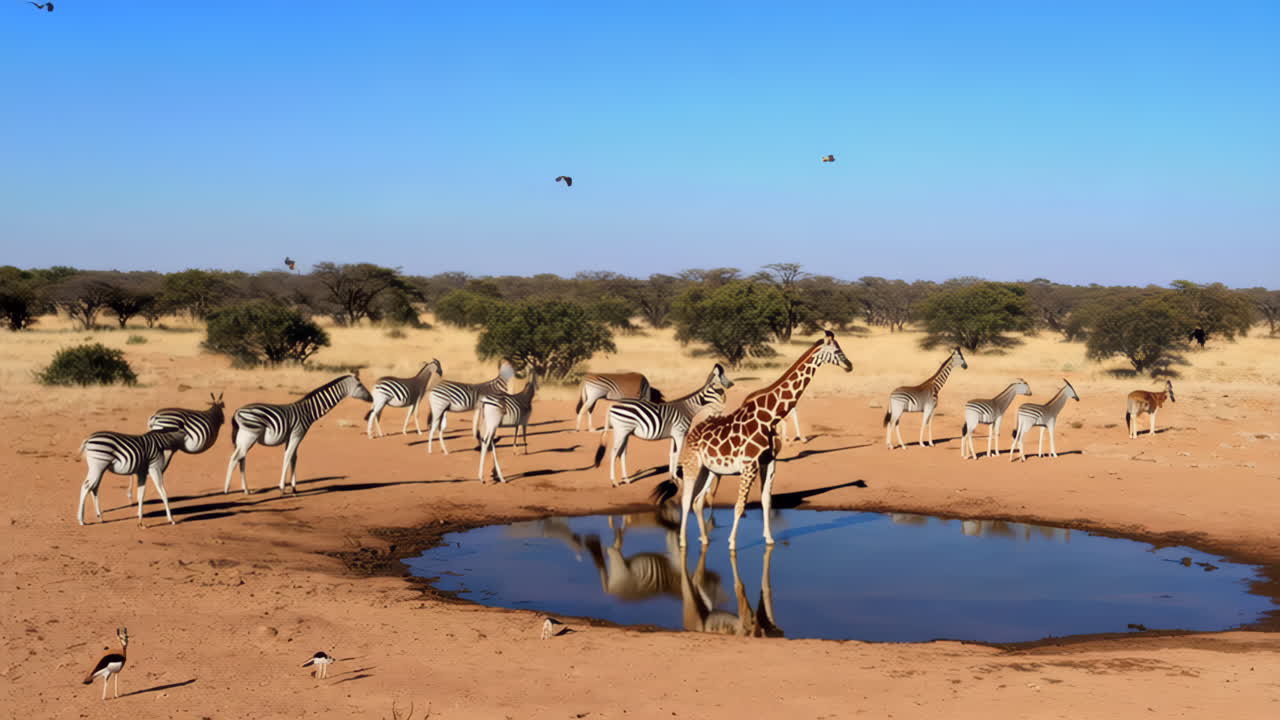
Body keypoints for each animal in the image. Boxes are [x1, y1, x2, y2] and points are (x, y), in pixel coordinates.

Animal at [224, 373, 373, 494]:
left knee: (241, 458)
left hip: (244, 438)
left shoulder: (292, 436)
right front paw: (282, 488)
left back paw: (246, 490)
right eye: (360, 385)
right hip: (250, 435)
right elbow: (288, 456)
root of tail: (237, 412)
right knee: (235, 457)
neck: (308, 411)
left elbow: (294, 458)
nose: (371, 398)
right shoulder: (298, 433)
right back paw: (226, 489)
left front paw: (294, 488)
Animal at [592, 363, 733, 486]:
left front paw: (672, 477)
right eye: (720, 392)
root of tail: (613, 405)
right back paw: (614, 481)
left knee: (621, 453)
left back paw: (626, 479)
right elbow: (678, 454)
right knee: (613, 452)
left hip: (626, 432)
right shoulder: (680, 434)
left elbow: (672, 454)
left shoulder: (673, 435)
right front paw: (677, 478)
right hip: (621, 430)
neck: (687, 409)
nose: (722, 410)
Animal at [671, 331, 852, 550]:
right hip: (692, 465)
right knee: (686, 500)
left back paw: (705, 539)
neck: (769, 416)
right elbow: (739, 506)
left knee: (698, 501)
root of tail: (692, 432)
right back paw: (683, 542)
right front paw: (732, 543)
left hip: (710, 469)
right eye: (836, 350)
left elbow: (766, 501)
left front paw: (769, 539)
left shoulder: (769, 462)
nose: (849, 365)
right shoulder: (749, 465)